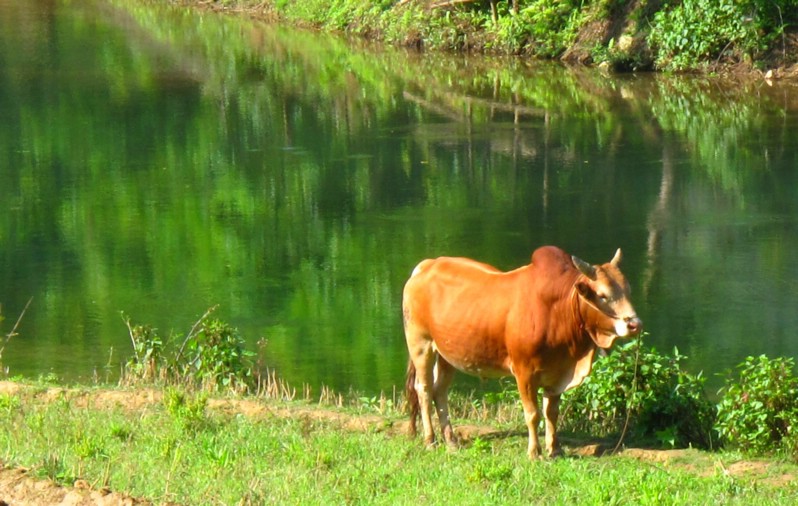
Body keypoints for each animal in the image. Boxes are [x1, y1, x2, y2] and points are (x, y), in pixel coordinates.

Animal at [406, 245, 644, 458]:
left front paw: (555, 449)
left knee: (439, 391)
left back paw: (451, 440)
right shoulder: (524, 373)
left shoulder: (557, 373)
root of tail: (426, 265)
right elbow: (533, 414)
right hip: (421, 345)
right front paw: (534, 452)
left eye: (628, 291)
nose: (635, 324)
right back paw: (430, 440)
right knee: (424, 389)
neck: (559, 311)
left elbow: (552, 413)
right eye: (603, 295)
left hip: (447, 354)